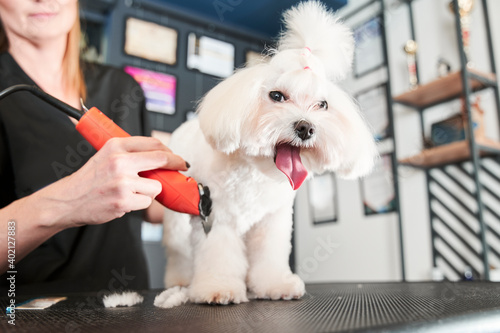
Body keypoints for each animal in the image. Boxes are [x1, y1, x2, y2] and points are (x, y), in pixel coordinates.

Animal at [154, 0, 376, 308]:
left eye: (322, 105)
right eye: (277, 96)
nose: (306, 128)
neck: (256, 174)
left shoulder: (272, 222)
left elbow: (270, 256)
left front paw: (275, 285)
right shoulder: (216, 218)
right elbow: (218, 257)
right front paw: (217, 288)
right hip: (177, 221)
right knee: (179, 253)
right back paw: (180, 280)